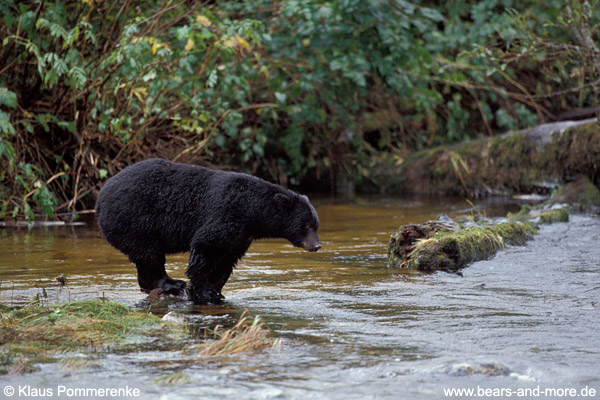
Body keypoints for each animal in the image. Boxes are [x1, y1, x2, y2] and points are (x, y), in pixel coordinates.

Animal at [95, 159, 318, 304]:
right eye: (306, 226)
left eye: (316, 225)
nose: (316, 245)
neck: (252, 210)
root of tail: (100, 197)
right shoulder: (226, 214)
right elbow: (207, 246)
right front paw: (203, 290)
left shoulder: (242, 235)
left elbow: (227, 259)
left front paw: (215, 290)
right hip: (135, 219)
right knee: (149, 253)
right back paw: (171, 284)